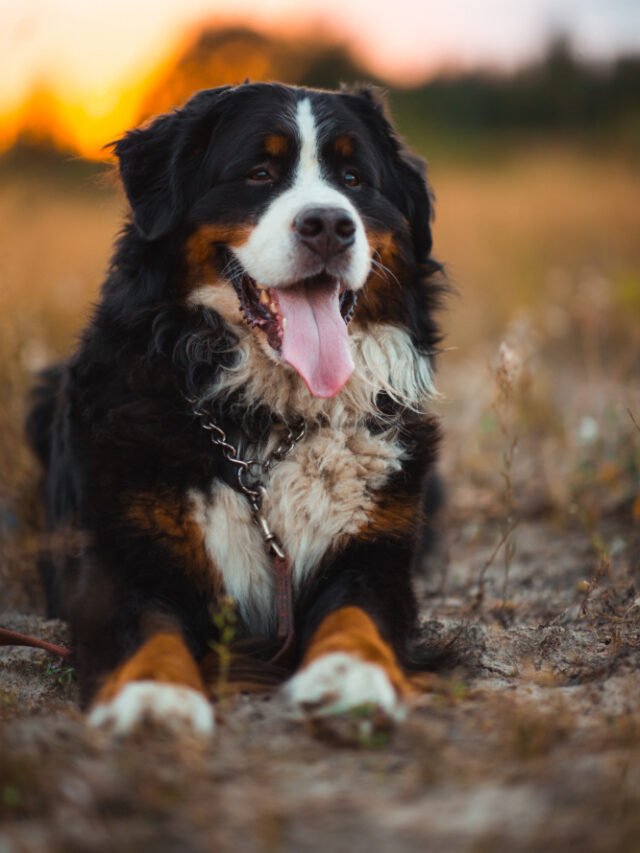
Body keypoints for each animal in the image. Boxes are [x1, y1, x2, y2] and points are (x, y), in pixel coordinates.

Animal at [26, 81, 444, 732]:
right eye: (259, 173)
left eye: (353, 178)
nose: (329, 225)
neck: (269, 418)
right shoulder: (117, 557)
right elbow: (149, 628)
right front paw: (154, 697)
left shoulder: (375, 552)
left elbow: (356, 615)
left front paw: (349, 676)